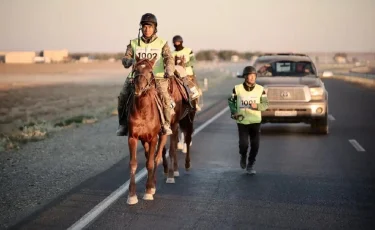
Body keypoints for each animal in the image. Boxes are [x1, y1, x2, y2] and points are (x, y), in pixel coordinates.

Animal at [126, 55, 167, 205]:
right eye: (135, 69)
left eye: (150, 71)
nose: (138, 88)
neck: (143, 110)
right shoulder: (132, 138)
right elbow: (133, 164)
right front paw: (132, 195)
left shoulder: (154, 138)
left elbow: (150, 163)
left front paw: (148, 191)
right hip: (144, 140)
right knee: (149, 154)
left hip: (162, 136)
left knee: (156, 157)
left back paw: (152, 186)